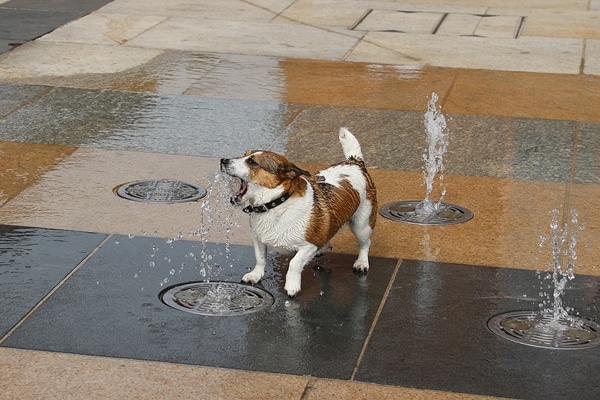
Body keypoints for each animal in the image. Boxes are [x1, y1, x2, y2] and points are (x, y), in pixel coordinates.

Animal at [220, 128, 378, 296]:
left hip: (362, 225)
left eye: (252, 162)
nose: (223, 160)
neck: (276, 204)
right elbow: (260, 258)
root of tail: (354, 162)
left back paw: (361, 262)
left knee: (365, 243)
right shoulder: (258, 239)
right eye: (244, 154)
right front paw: (255, 275)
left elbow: (294, 262)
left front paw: (292, 286)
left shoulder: (308, 245)